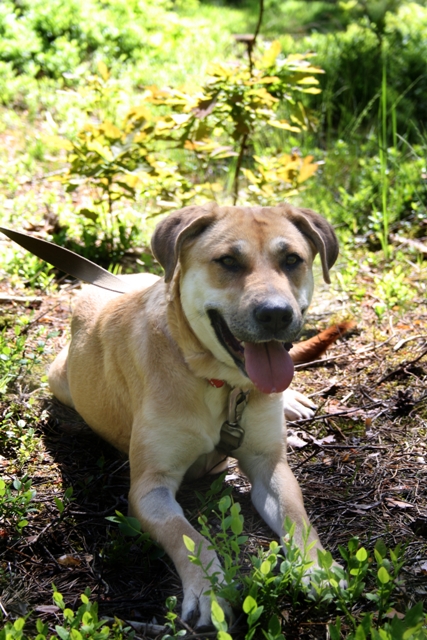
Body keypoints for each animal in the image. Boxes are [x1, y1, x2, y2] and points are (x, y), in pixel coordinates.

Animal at [49, 202, 340, 628]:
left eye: (292, 260)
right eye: (228, 261)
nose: (275, 314)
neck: (218, 383)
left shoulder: (268, 465)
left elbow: (297, 518)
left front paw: (317, 568)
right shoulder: (150, 488)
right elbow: (188, 536)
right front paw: (209, 590)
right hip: (59, 379)